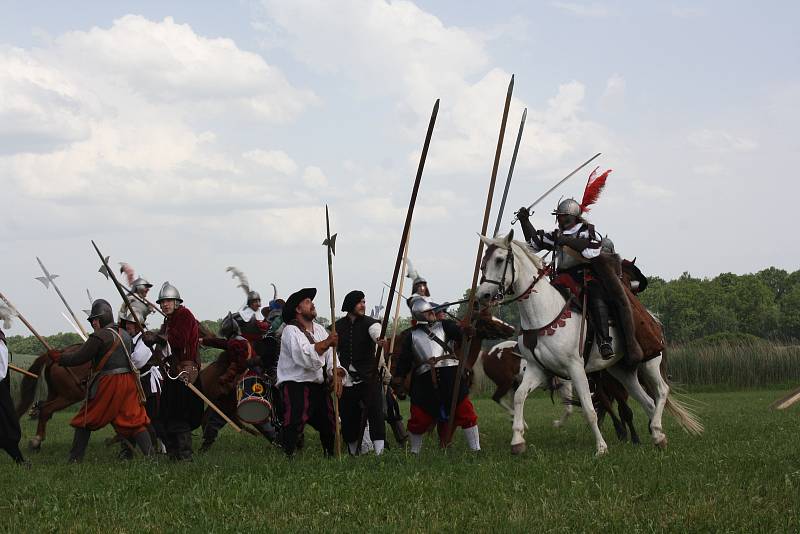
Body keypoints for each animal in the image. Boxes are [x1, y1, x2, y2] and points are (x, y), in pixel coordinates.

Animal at [476, 232, 700, 458]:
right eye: (483, 263)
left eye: (500, 260)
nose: (483, 295)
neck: (544, 314)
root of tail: (655, 320)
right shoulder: (536, 369)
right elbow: (519, 397)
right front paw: (517, 440)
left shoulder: (575, 368)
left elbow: (588, 408)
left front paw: (601, 448)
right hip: (622, 371)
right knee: (647, 401)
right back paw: (658, 436)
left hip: (649, 362)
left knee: (662, 391)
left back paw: (655, 429)